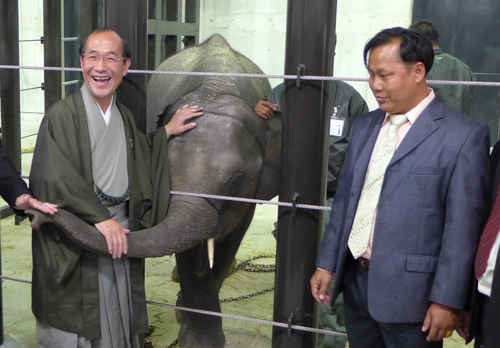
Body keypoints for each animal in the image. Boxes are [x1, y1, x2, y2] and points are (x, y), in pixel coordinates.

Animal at [29, 34, 284, 348]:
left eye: (236, 181)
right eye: (164, 172)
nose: (37, 214)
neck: (216, 87)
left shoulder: (249, 194)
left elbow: (230, 238)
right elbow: (188, 250)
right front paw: (195, 336)